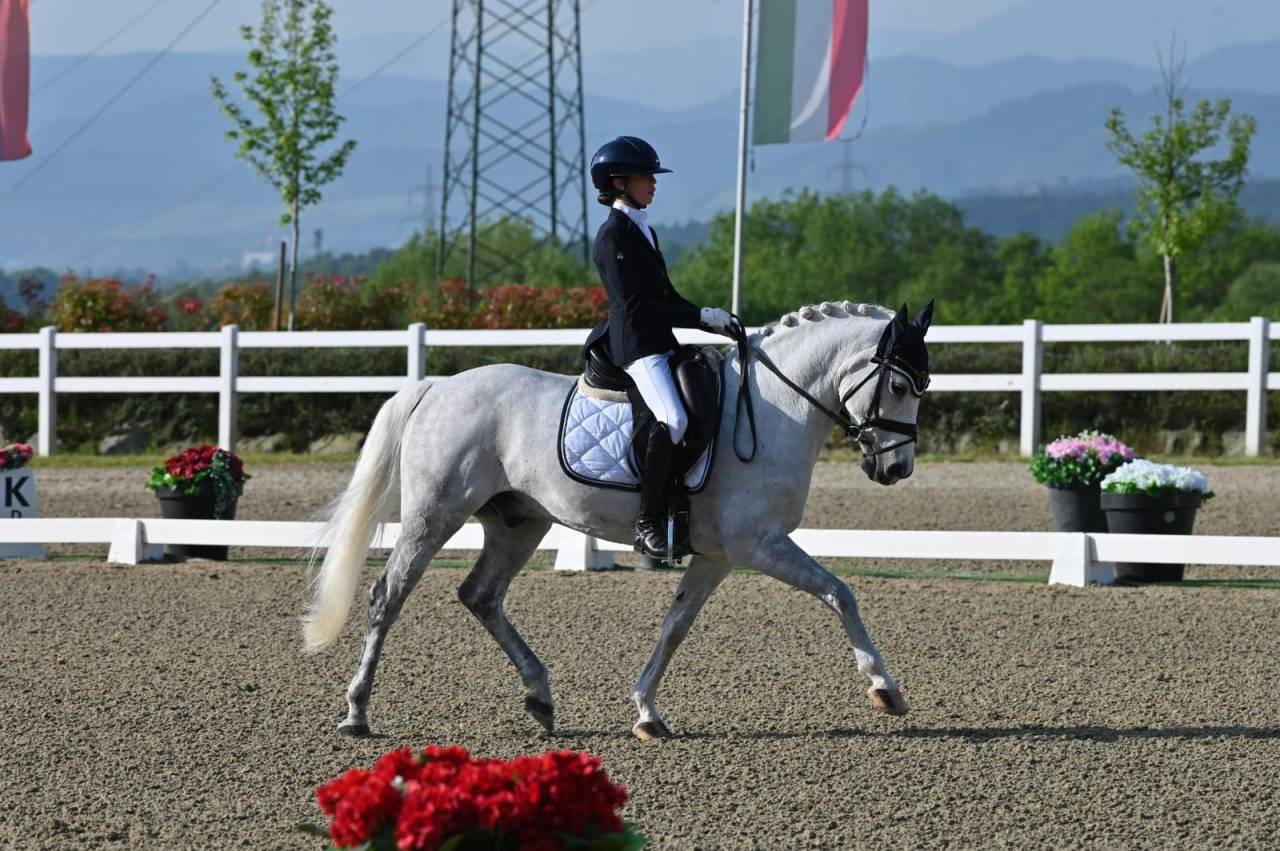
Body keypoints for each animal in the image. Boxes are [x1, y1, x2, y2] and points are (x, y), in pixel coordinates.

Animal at [303, 298, 933, 740]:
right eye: (901, 384)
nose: (895, 468)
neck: (775, 408)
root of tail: (435, 388)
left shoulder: (718, 555)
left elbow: (675, 625)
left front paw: (647, 712)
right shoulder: (759, 544)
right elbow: (839, 592)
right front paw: (886, 689)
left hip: (518, 522)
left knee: (481, 595)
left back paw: (540, 698)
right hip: (435, 514)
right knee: (389, 594)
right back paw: (357, 712)